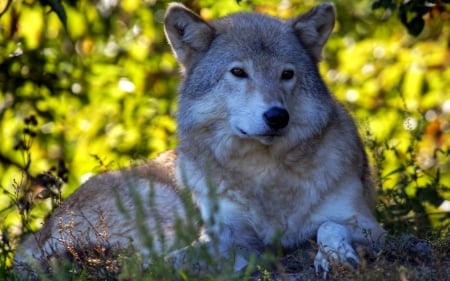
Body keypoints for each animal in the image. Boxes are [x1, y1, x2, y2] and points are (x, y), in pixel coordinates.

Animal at [14, 2, 386, 276]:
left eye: (287, 74)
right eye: (238, 72)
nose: (277, 117)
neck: (266, 176)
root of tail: (36, 237)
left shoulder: (367, 224)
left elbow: (329, 227)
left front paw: (335, 256)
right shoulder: (225, 229)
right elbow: (190, 252)